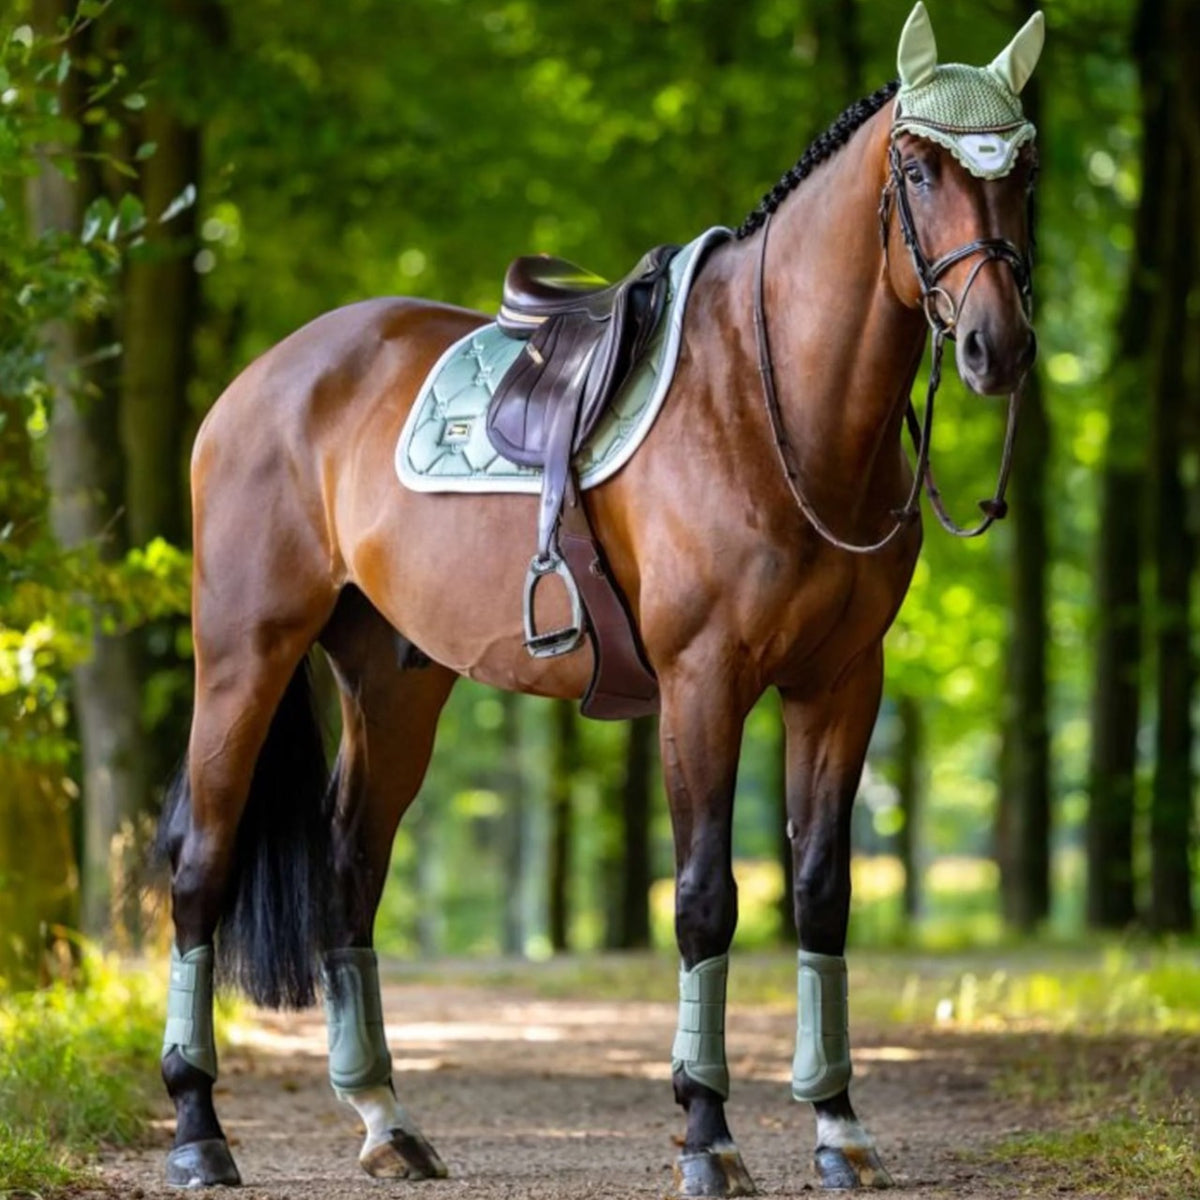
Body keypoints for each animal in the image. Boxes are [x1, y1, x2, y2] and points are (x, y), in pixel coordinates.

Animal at [157, 4, 1043, 1193]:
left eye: (1024, 167)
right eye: (916, 167)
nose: (999, 346)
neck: (766, 405)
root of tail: (262, 379)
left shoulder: (842, 683)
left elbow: (820, 892)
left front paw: (839, 1127)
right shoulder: (704, 682)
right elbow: (706, 899)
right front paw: (707, 1132)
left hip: (395, 680)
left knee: (350, 867)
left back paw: (387, 1120)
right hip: (243, 655)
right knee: (200, 864)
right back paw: (199, 1129)